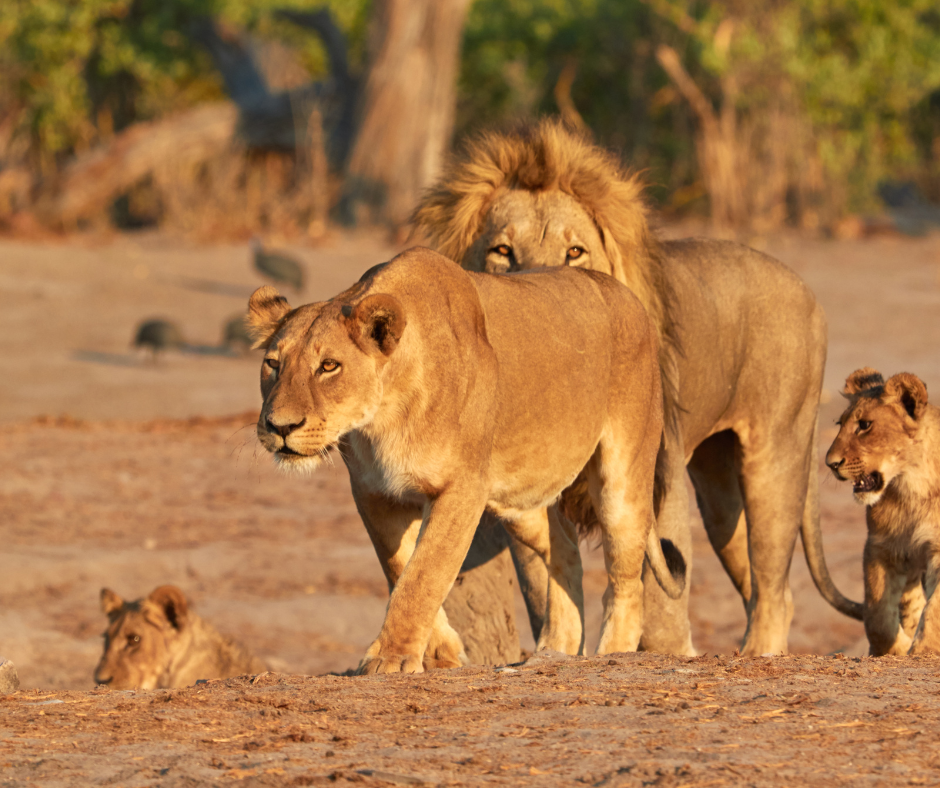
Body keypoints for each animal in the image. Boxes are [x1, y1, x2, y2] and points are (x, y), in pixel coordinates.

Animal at [248, 249, 684, 676]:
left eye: (328, 366)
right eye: (273, 364)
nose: (279, 426)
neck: (382, 419)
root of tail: (626, 294)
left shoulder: (462, 489)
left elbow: (425, 574)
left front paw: (390, 658)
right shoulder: (374, 493)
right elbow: (399, 566)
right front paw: (441, 652)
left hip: (621, 479)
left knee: (626, 580)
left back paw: (613, 652)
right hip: (520, 499)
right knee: (565, 546)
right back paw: (555, 646)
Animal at [412, 118, 860, 652]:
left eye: (575, 252)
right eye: (503, 251)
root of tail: (805, 288)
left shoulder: (656, 473)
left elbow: (659, 597)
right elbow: (547, 581)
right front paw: (555, 648)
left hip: (773, 461)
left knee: (774, 592)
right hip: (720, 495)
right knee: (760, 585)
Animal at [828, 372, 936, 656]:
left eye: (865, 425)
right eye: (839, 424)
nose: (830, 463)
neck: (911, 487)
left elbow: (935, 610)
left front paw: (923, 649)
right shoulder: (881, 546)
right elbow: (877, 615)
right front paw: (897, 648)